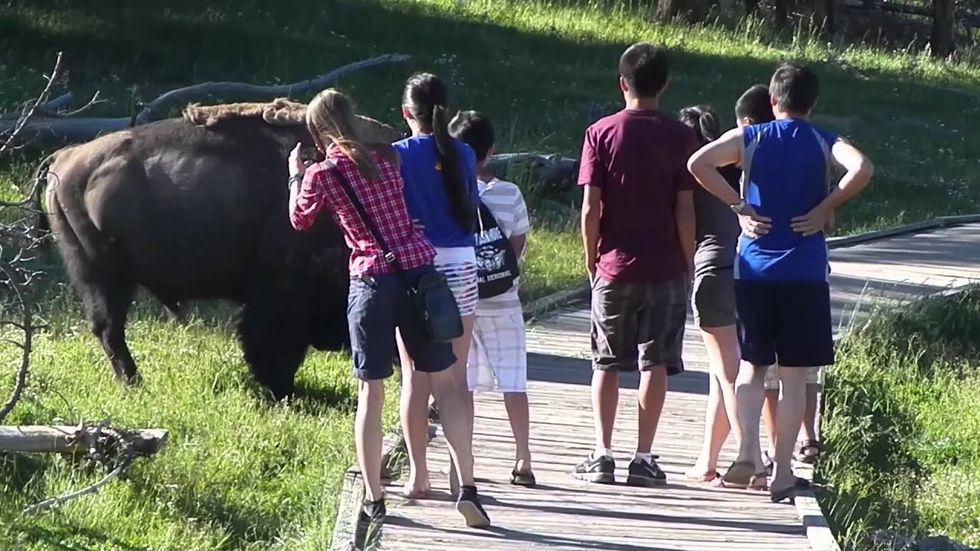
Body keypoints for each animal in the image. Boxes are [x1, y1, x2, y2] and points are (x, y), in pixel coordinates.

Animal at [43, 99, 399, 399]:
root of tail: (65, 158)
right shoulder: (278, 291)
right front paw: (280, 389)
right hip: (102, 272)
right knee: (109, 327)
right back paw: (134, 383)